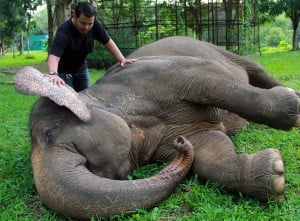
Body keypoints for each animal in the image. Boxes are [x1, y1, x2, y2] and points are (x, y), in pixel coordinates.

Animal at [12, 35, 298, 218]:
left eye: (48, 134)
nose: (180, 143)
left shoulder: (160, 73)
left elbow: (211, 80)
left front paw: (292, 108)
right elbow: (209, 153)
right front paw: (276, 173)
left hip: (220, 50)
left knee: (254, 69)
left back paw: (291, 93)